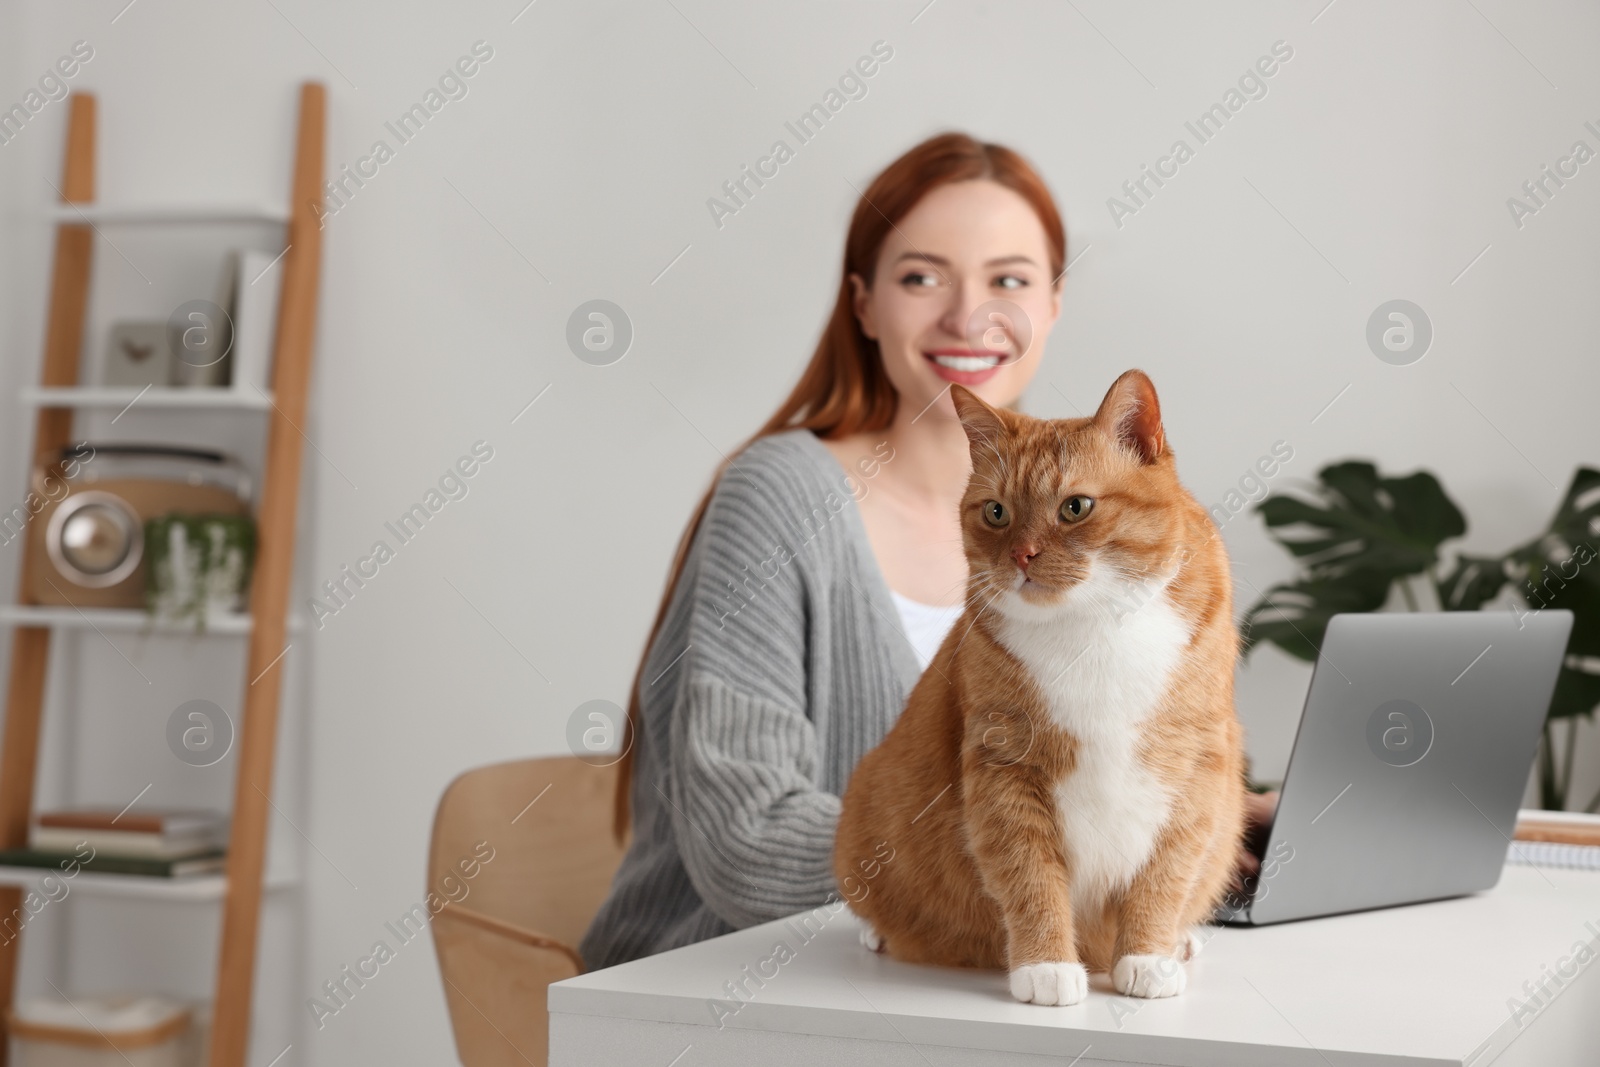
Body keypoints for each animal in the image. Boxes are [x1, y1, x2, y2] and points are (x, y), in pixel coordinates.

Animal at [838, 371, 1248, 1004]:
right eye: (996, 512)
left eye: (1075, 507)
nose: (1021, 555)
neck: (1093, 625)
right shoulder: (1004, 768)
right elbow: (1030, 876)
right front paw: (1046, 966)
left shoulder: (1196, 765)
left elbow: (1165, 876)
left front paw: (1149, 956)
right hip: (865, 796)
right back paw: (877, 933)